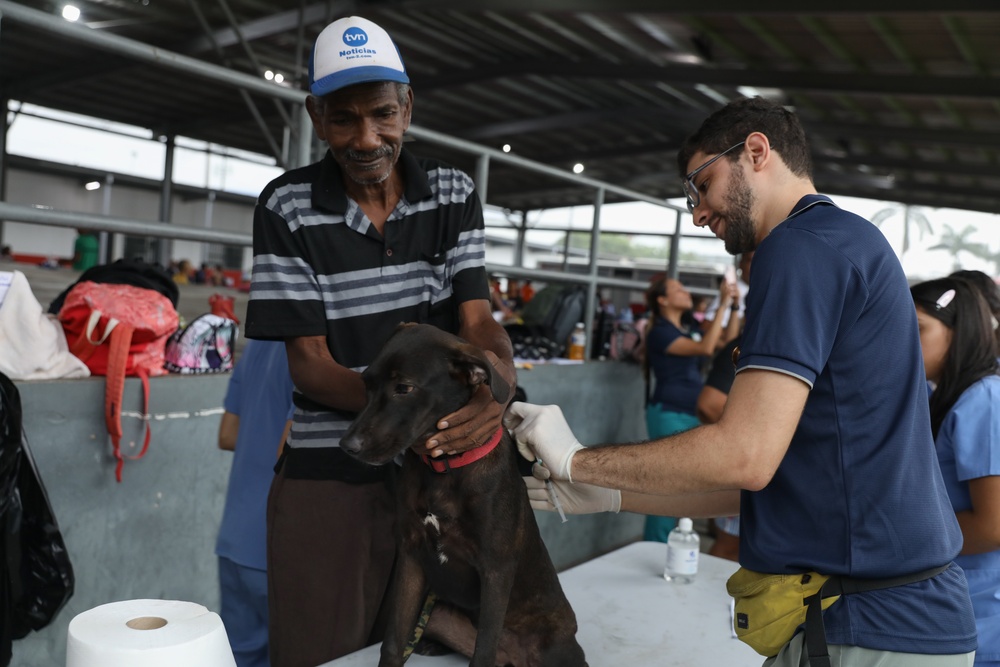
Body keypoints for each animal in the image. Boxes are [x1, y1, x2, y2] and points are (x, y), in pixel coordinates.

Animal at [342, 320, 584, 664]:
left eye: (404, 388)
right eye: (367, 384)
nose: (347, 446)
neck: (443, 469)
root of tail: (511, 659)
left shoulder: (496, 569)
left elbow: (482, 653)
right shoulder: (411, 556)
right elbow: (393, 640)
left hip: (556, 642)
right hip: (437, 615)